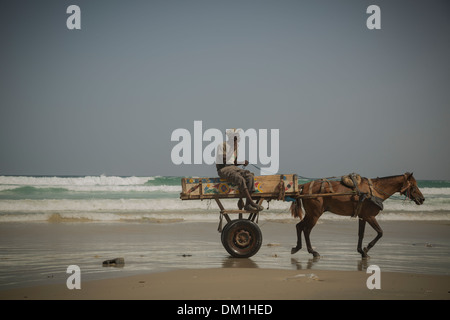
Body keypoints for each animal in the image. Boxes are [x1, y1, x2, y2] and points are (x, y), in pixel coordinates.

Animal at [292, 172, 426, 258]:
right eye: (413, 185)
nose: (422, 199)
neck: (374, 190)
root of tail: (304, 186)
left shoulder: (363, 217)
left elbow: (361, 234)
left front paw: (361, 251)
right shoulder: (370, 217)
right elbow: (380, 232)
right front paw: (366, 249)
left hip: (310, 214)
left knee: (299, 226)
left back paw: (297, 247)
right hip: (315, 214)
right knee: (306, 230)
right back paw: (312, 251)